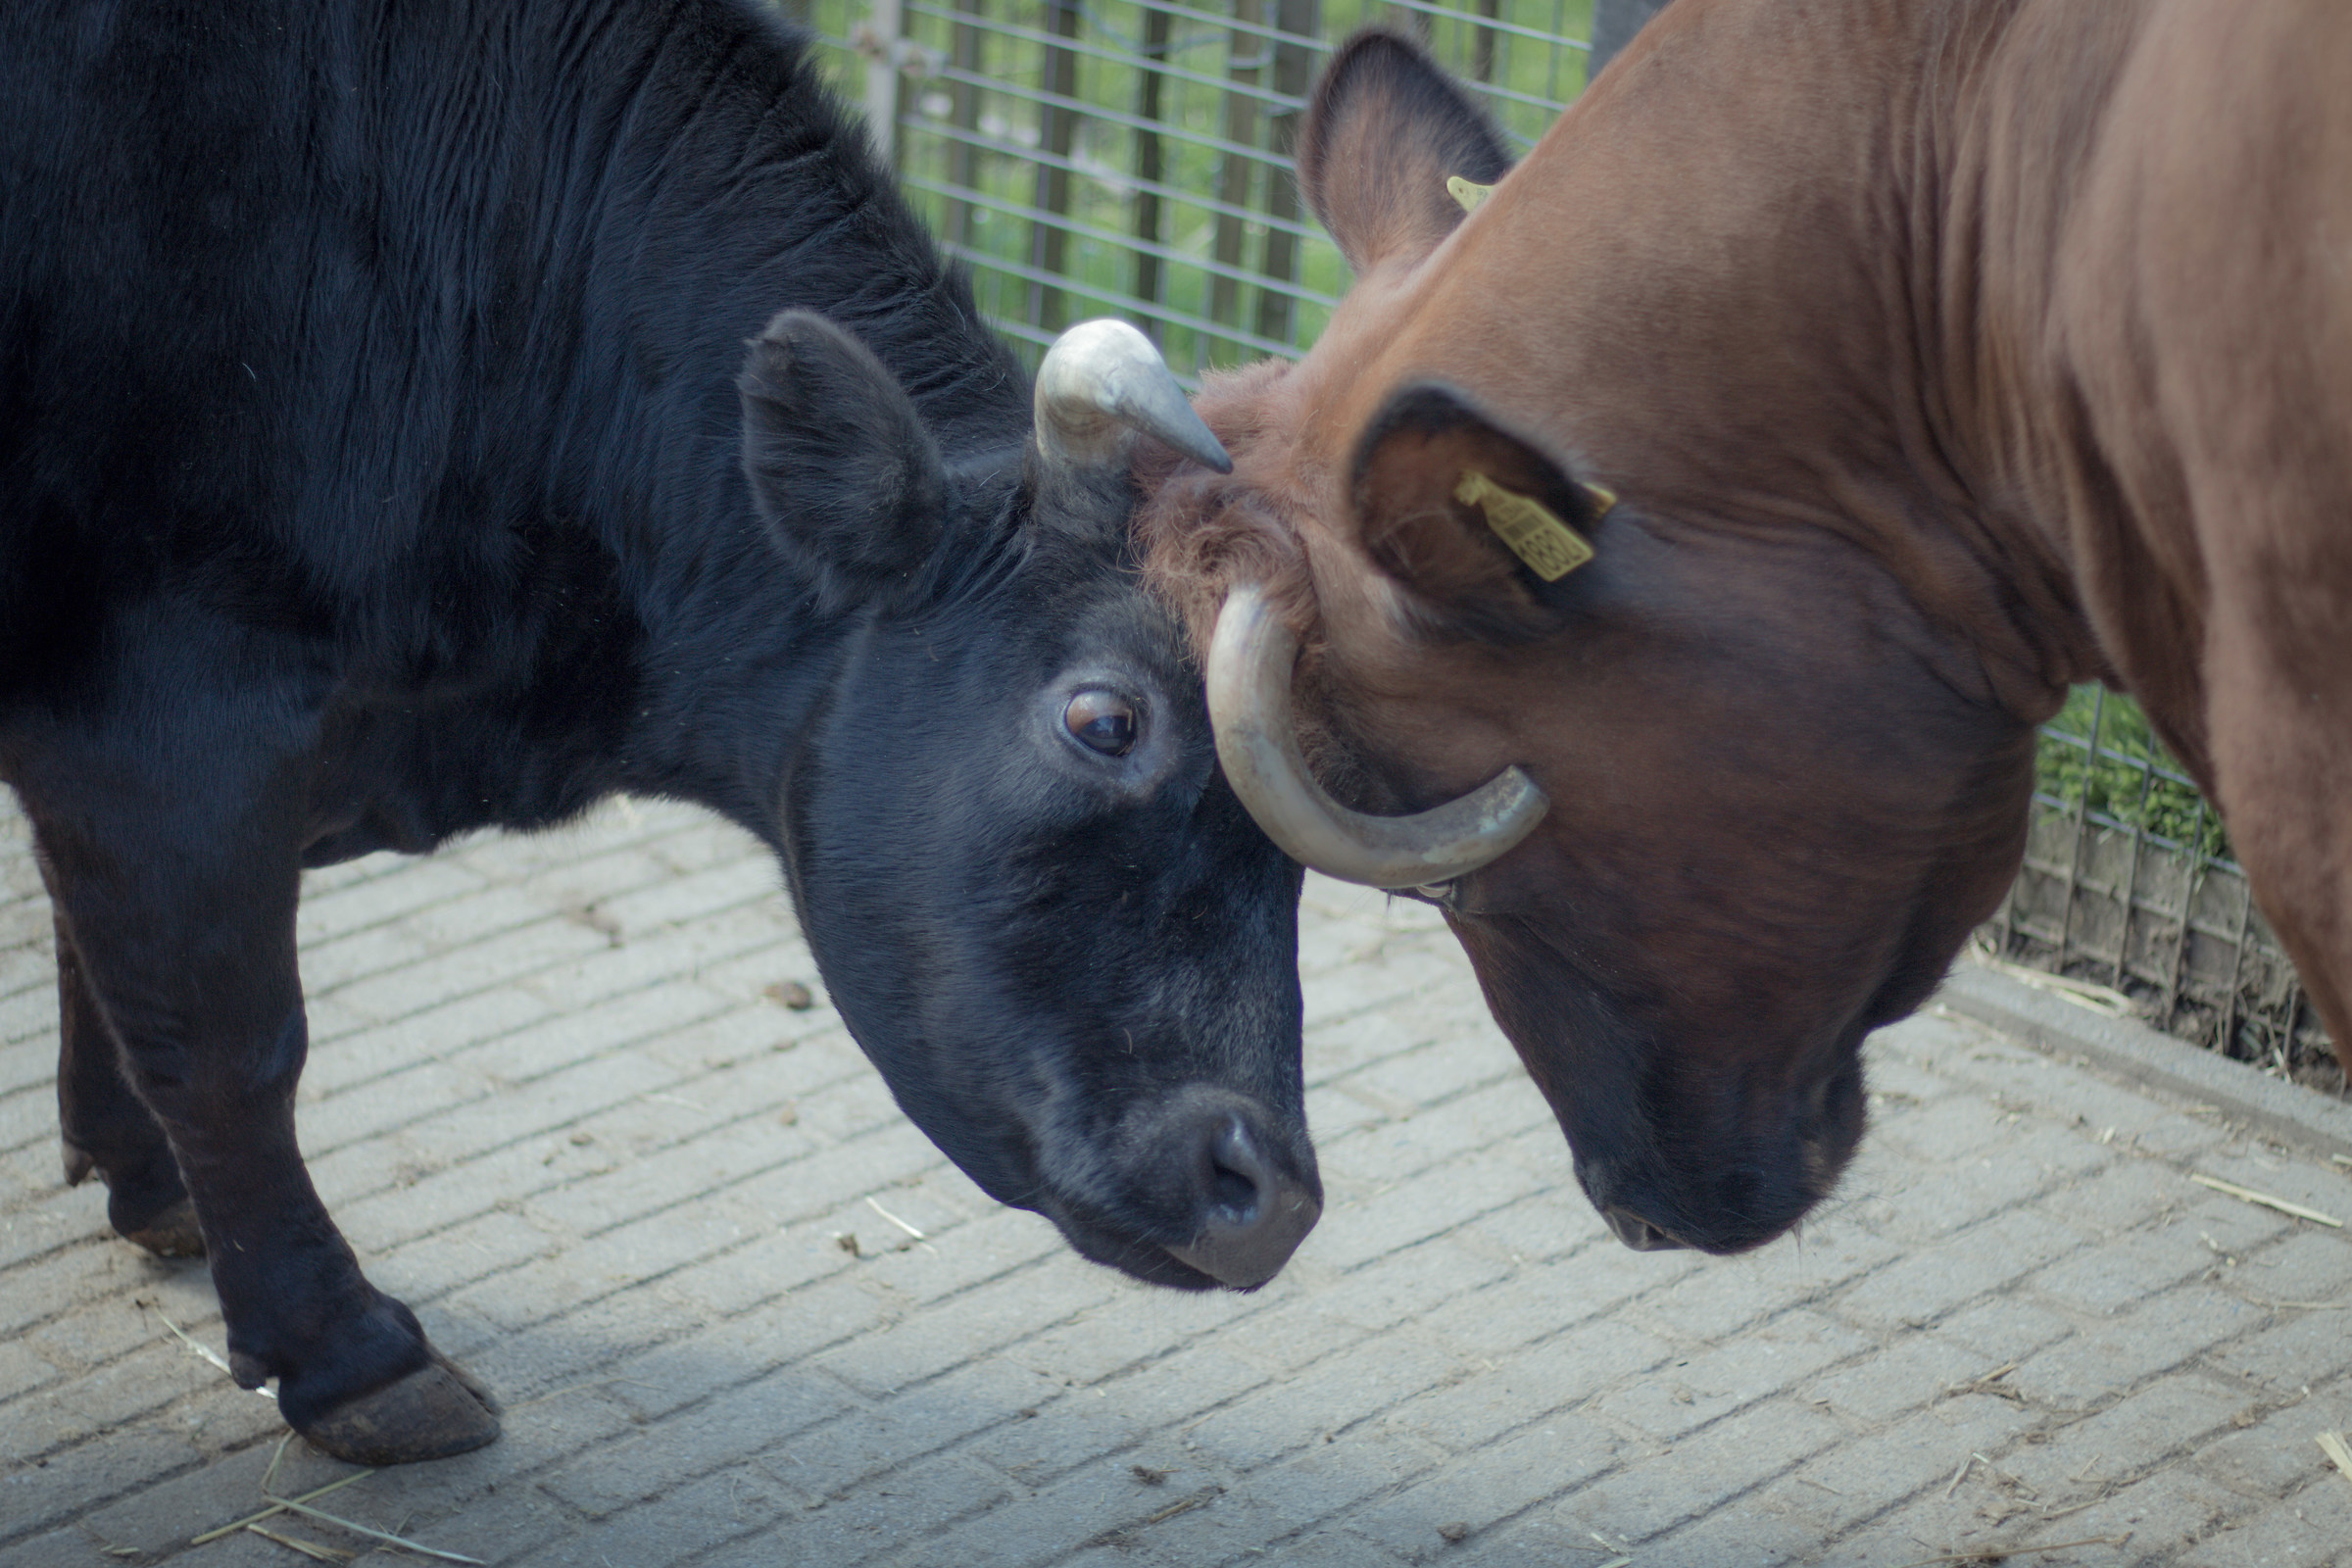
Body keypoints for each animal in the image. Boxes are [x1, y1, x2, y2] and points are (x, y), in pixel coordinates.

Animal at [0, 0, 1320, 1465]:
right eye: (1104, 719)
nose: (1272, 1192)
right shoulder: (169, 698)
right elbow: (227, 1036)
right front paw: (350, 1352)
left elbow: (99, 954)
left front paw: (144, 1179)